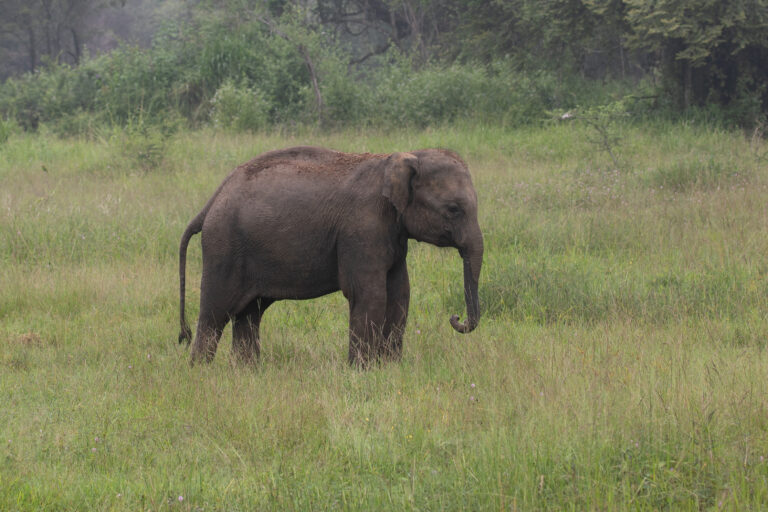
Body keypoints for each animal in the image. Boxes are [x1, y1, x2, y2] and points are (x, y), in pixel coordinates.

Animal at [177, 145, 483, 367]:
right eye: (454, 209)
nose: (456, 318)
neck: (398, 158)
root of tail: (212, 201)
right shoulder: (361, 229)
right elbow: (369, 294)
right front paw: (362, 371)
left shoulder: (394, 234)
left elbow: (400, 294)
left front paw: (391, 368)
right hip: (224, 247)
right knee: (215, 314)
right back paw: (201, 372)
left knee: (249, 315)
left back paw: (246, 373)